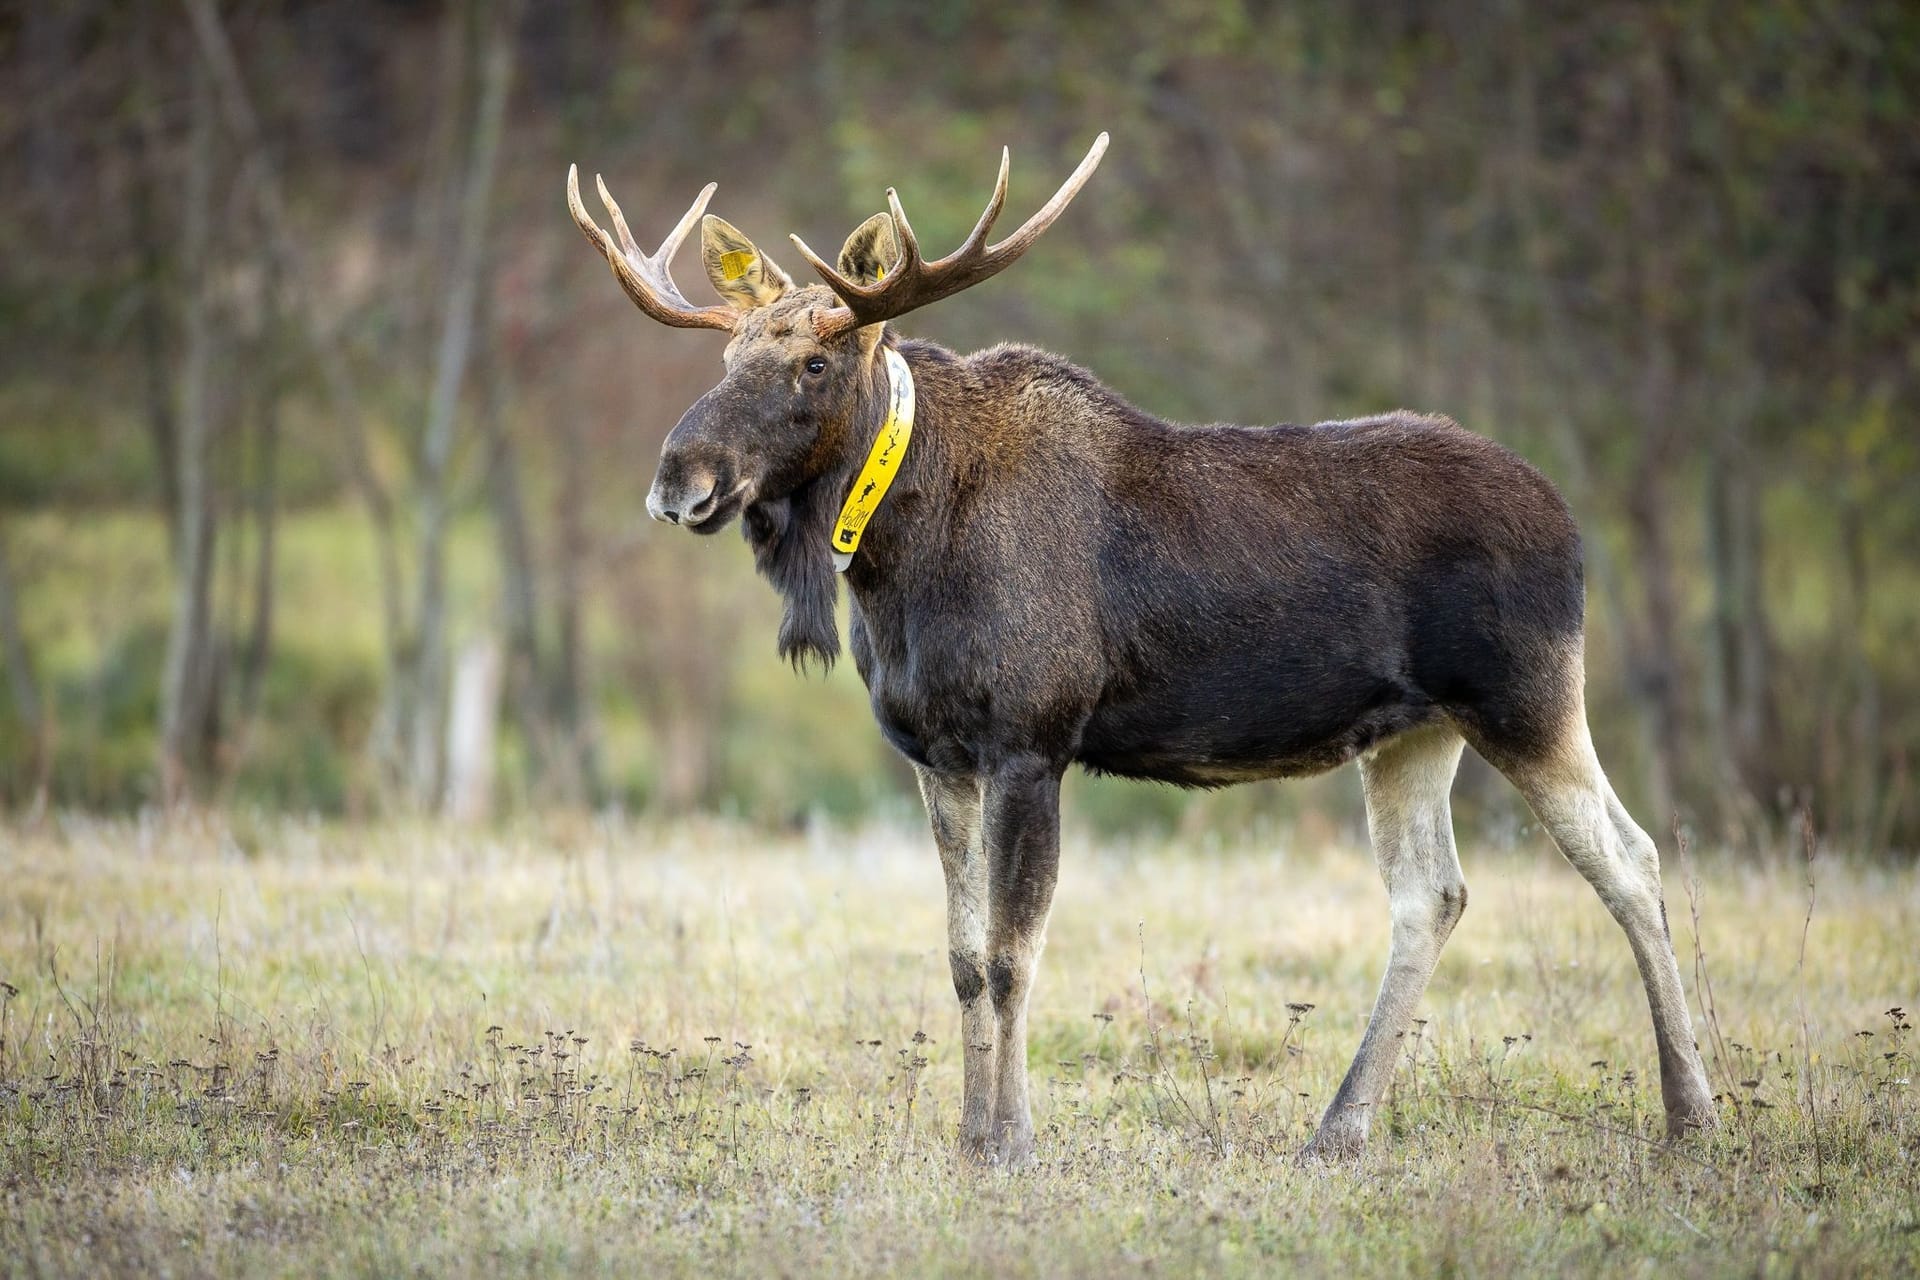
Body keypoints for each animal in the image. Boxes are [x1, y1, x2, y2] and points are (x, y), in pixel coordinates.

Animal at [560, 135, 1720, 1166]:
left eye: (811, 361)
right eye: (723, 355)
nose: (680, 480)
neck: (893, 564)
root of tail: (1574, 529)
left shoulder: (1032, 741)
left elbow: (1012, 953)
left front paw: (1013, 1143)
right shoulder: (938, 755)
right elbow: (961, 959)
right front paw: (970, 1136)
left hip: (1526, 695)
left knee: (1630, 859)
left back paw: (1690, 1115)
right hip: (1413, 732)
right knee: (1431, 894)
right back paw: (1338, 1130)